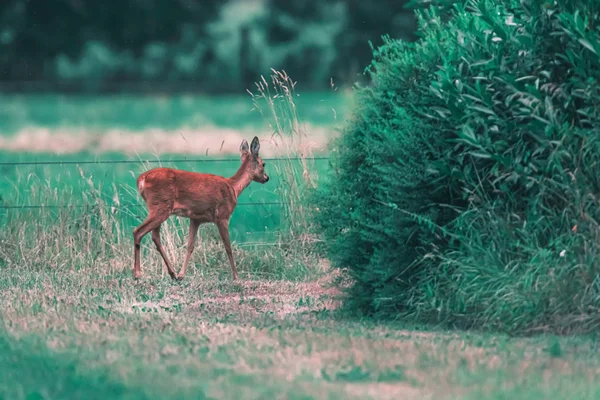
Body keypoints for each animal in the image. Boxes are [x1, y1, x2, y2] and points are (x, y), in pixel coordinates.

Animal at [135, 138, 270, 282]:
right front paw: (236, 276)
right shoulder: (222, 216)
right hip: (160, 206)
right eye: (263, 163)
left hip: (159, 207)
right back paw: (137, 274)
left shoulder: (195, 219)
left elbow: (190, 246)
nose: (266, 178)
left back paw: (173, 273)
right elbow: (228, 247)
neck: (233, 188)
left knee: (155, 237)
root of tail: (141, 180)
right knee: (138, 232)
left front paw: (182, 275)